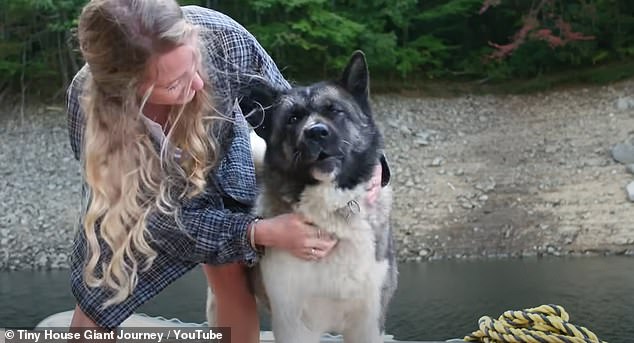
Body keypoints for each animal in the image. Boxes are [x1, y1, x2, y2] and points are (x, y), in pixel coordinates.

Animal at [206, 51, 396, 343]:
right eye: (292, 119)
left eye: (334, 110)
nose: (316, 132)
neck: (330, 215)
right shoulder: (293, 325)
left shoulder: (367, 323)